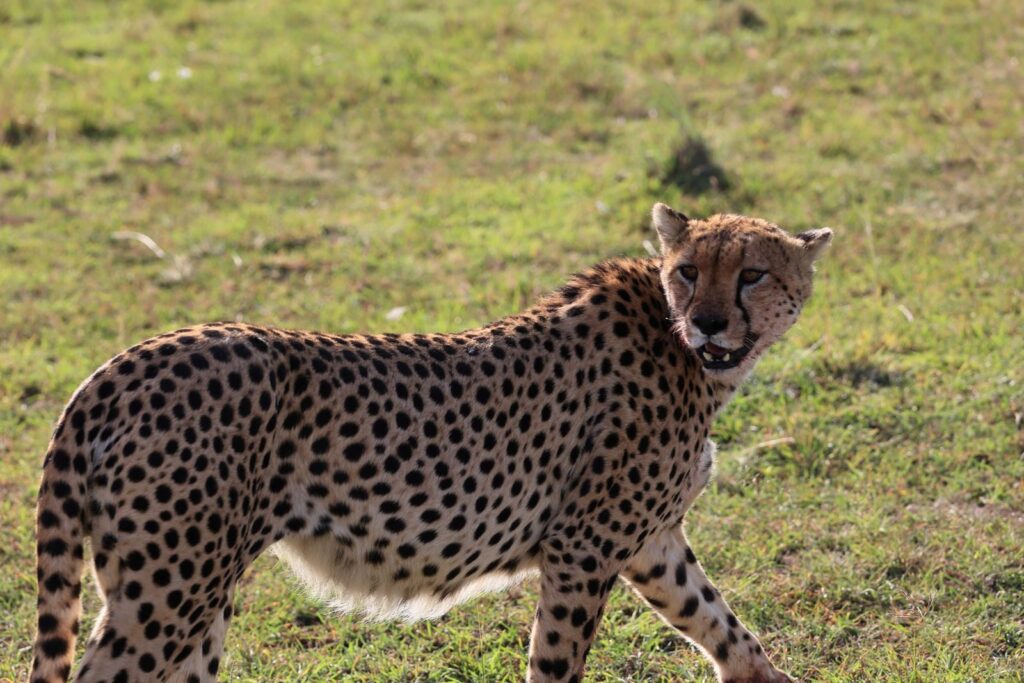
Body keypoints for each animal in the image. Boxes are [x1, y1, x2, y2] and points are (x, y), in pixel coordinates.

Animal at [29, 202, 832, 683]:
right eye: (690, 270)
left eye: (752, 273)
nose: (708, 322)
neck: (683, 350)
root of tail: (126, 361)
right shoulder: (583, 547)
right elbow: (558, 659)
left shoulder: (650, 542)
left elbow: (720, 621)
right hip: (169, 590)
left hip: (195, 591)